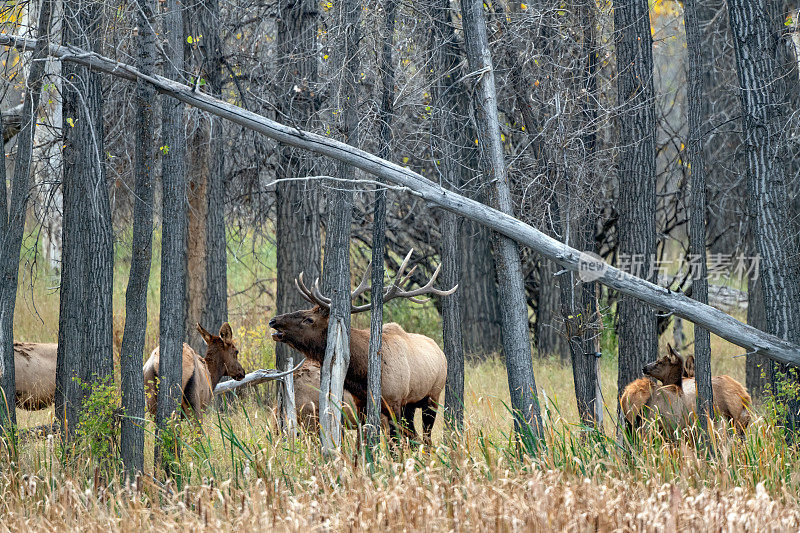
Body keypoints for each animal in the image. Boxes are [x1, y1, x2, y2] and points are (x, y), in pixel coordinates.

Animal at [268, 249, 456, 444]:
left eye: (309, 319)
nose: (274, 321)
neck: (362, 375)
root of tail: (439, 351)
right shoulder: (361, 404)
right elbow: (362, 442)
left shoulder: (394, 402)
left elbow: (393, 443)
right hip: (410, 404)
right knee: (414, 437)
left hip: (432, 397)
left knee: (425, 437)